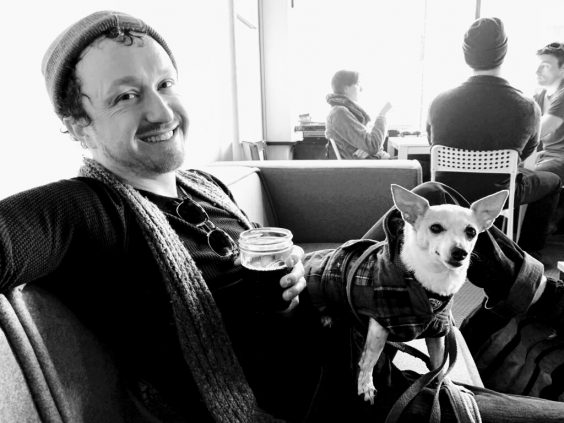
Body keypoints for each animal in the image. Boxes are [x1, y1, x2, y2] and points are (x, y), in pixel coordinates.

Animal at [353, 184, 508, 403]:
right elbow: (369, 360)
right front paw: (366, 385)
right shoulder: (379, 325)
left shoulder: (437, 332)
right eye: (435, 228)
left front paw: (449, 388)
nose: (460, 252)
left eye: (471, 232)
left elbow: (440, 366)